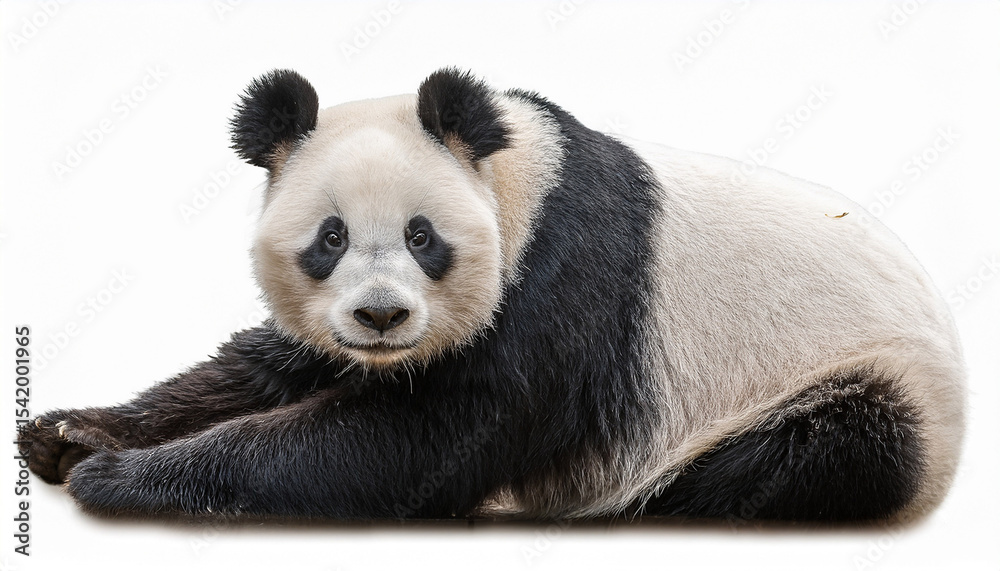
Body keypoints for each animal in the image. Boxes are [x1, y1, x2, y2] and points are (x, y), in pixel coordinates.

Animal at [19, 67, 965, 523]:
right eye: (330, 238)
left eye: (421, 236)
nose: (381, 317)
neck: (515, 176)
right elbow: (263, 367)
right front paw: (69, 431)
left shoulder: (563, 286)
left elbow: (421, 439)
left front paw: (119, 476)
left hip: (859, 380)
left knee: (819, 452)